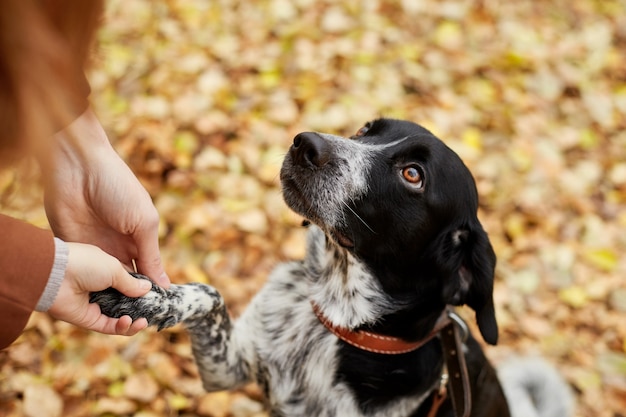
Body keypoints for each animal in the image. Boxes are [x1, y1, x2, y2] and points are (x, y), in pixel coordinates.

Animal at [91, 117, 572, 416]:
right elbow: (209, 294)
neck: (333, 319)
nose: (305, 143)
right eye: (365, 130)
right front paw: (145, 298)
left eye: (413, 175)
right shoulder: (228, 367)